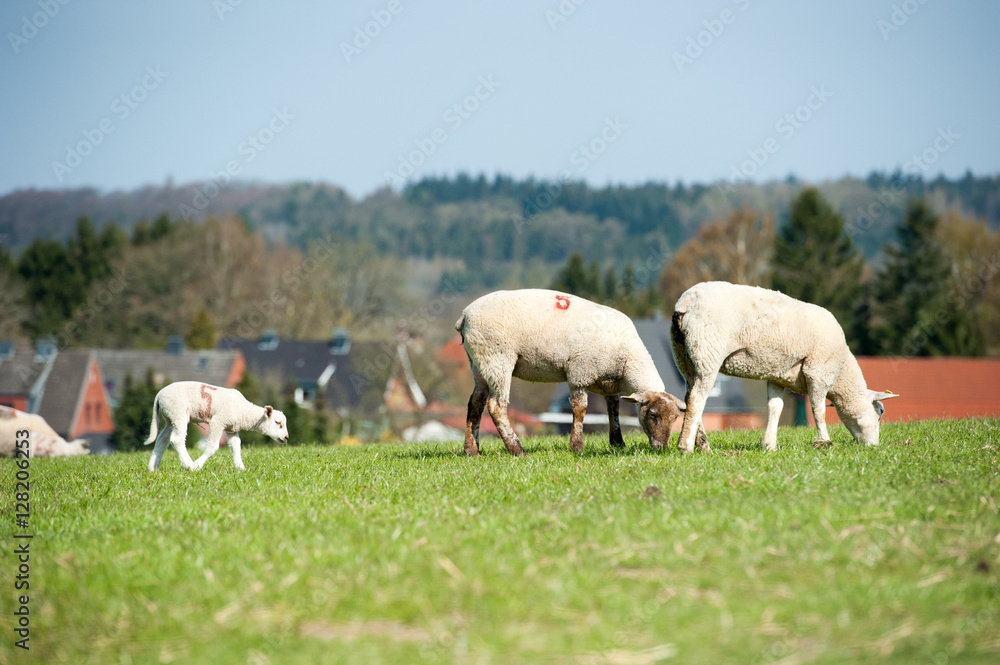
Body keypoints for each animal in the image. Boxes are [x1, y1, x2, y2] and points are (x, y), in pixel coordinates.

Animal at [144, 381, 288, 472]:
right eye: (278, 422)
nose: (286, 437)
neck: (244, 412)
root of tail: (159, 395)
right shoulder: (218, 421)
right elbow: (213, 447)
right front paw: (198, 465)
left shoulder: (231, 428)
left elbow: (236, 446)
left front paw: (240, 468)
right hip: (178, 412)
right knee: (176, 439)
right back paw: (189, 466)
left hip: (170, 418)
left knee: (162, 439)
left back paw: (152, 468)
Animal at [455, 289, 686, 455]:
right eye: (653, 415)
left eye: (676, 417)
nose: (662, 448)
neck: (628, 358)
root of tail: (465, 316)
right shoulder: (579, 372)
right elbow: (580, 408)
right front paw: (577, 446)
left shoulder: (608, 382)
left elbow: (614, 409)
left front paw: (617, 442)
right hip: (498, 358)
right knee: (496, 406)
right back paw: (516, 449)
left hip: (479, 364)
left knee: (475, 404)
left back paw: (472, 450)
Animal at [670, 281, 899, 452]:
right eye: (879, 412)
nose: (874, 446)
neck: (841, 374)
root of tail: (687, 301)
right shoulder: (818, 372)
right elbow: (818, 410)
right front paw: (824, 441)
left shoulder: (776, 376)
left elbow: (775, 408)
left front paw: (769, 444)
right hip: (708, 351)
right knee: (697, 399)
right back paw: (685, 446)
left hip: (684, 358)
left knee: (689, 396)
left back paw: (703, 445)